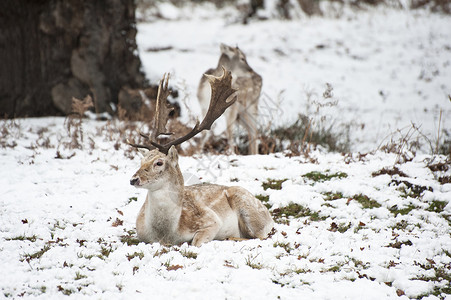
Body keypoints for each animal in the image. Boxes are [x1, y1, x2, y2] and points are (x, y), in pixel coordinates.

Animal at [128, 69, 276, 247]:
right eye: (141, 161)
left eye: (159, 163)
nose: (133, 179)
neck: (166, 234)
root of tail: (269, 215)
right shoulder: (141, 234)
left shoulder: (211, 220)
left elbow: (195, 241)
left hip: (250, 210)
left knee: (260, 236)